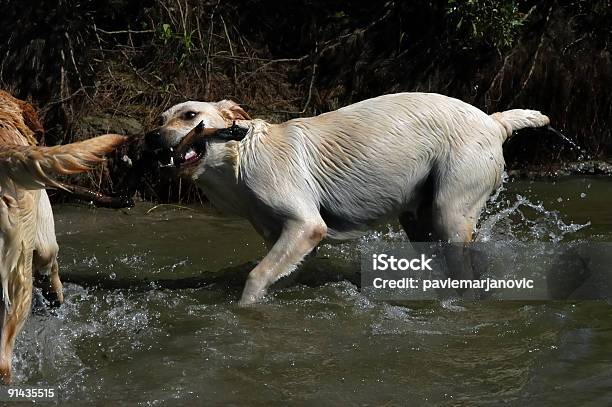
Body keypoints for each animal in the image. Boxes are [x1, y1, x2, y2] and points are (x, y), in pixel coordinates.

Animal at [148, 92, 548, 302]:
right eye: (161, 118)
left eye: (190, 116)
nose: (151, 137)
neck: (241, 154)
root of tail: (494, 121)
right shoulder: (285, 236)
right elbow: (280, 271)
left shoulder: (306, 225)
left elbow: (256, 276)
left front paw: (244, 307)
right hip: (418, 219)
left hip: (451, 211)